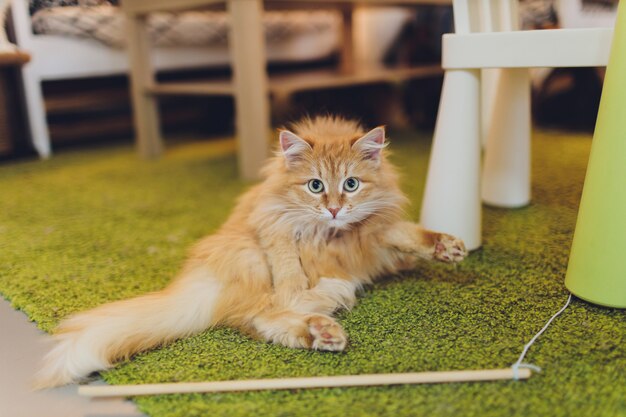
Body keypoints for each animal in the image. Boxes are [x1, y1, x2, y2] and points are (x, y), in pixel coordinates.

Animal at [34, 114, 464, 386]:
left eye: (352, 184)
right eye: (315, 186)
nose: (334, 208)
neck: (331, 235)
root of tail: (200, 285)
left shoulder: (375, 232)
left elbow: (408, 234)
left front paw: (449, 247)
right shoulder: (272, 224)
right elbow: (288, 264)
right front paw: (295, 286)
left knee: (264, 321)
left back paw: (322, 333)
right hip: (255, 261)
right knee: (264, 316)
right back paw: (321, 329)